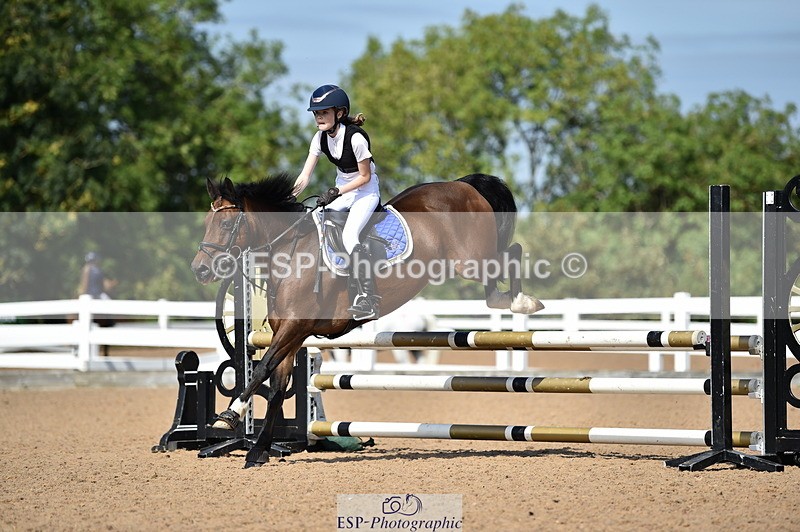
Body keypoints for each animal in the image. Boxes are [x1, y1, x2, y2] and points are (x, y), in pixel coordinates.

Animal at [191, 172, 543, 467]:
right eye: (207, 221)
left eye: (226, 225)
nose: (200, 271)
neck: (290, 252)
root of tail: (462, 184)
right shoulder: (291, 336)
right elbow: (276, 388)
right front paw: (257, 452)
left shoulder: (294, 328)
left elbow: (261, 368)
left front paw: (229, 415)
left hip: (470, 260)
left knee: (511, 253)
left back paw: (521, 301)